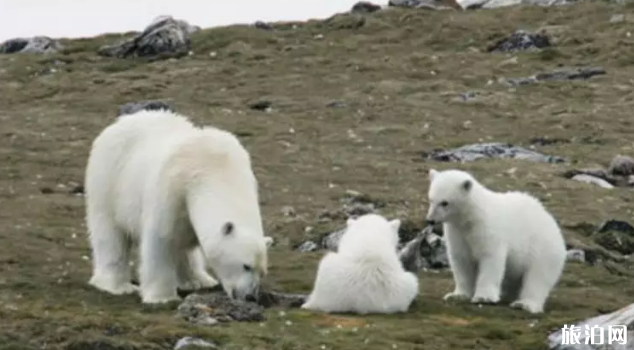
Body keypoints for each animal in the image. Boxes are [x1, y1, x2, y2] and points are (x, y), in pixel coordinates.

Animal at [84, 109, 272, 304]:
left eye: (262, 272)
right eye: (246, 266)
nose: (250, 296)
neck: (215, 169)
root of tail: (122, 121)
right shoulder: (171, 191)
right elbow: (161, 240)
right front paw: (162, 297)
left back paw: (198, 280)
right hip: (109, 181)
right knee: (110, 234)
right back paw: (117, 285)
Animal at [424, 168, 564, 314]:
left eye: (444, 202)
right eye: (431, 199)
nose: (430, 220)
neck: (471, 218)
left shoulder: (488, 231)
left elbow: (490, 259)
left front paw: (483, 297)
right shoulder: (457, 233)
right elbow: (462, 261)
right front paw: (457, 295)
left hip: (541, 247)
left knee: (537, 277)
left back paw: (524, 304)